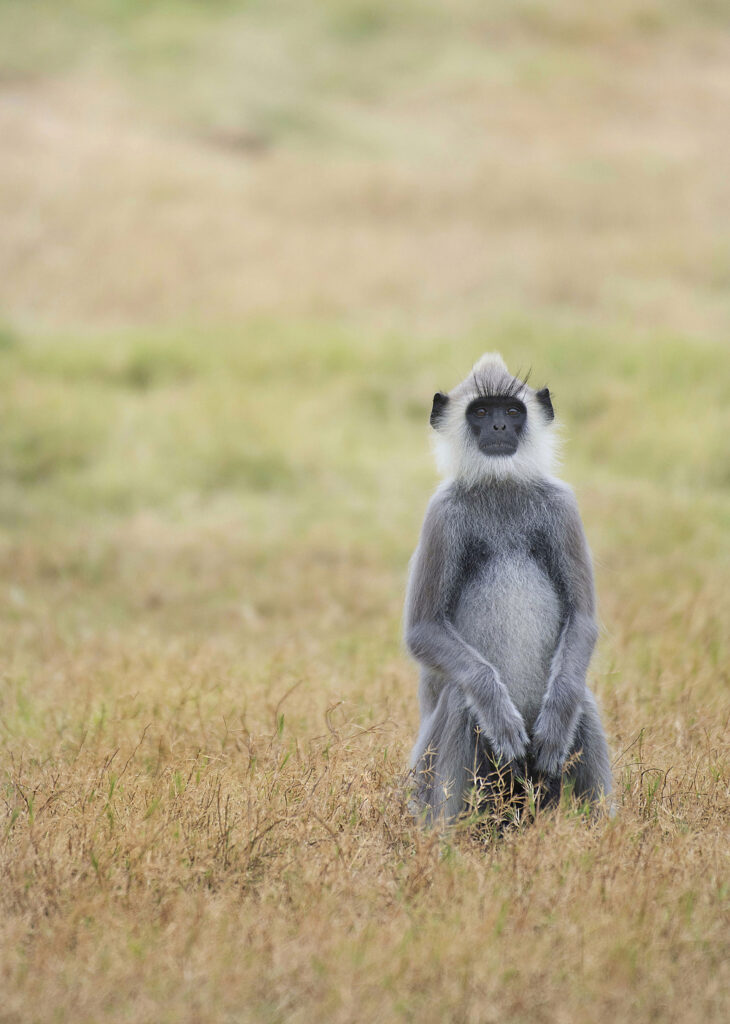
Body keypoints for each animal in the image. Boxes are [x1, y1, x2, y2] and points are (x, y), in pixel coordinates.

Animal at [403, 352, 610, 823]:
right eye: (481, 412)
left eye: (512, 412)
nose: (498, 426)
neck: (501, 485)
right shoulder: (441, 515)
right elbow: (423, 630)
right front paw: (500, 715)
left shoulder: (562, 506)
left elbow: (582, 620)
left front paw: (554, 723)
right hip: (424, 784)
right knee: (460, 700)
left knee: (581, 699)